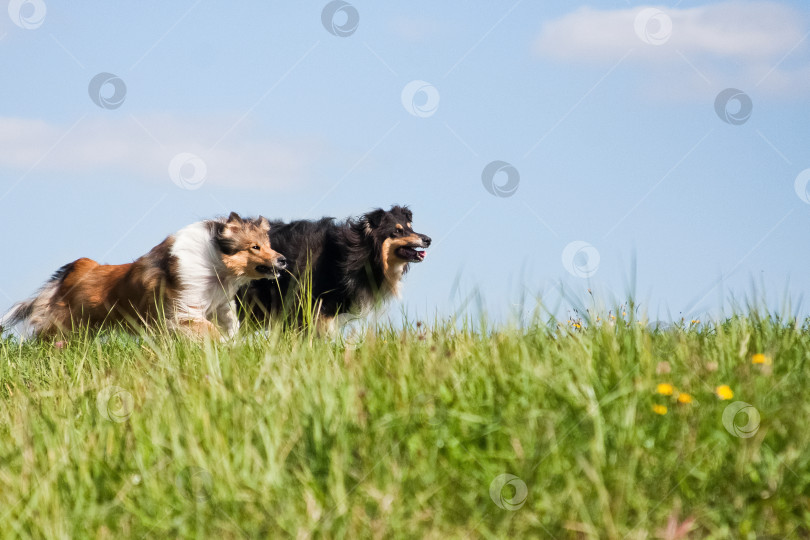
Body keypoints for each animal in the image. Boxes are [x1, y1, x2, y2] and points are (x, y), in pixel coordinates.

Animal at [0, 213, 286, 340]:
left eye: (268, 245)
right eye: (255, 247)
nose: (282, 260)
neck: (215, 262)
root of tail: (71, 270)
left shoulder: (219, 303)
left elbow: (229, 325)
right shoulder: (183, 311)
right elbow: (209, 330)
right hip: (63, 325)